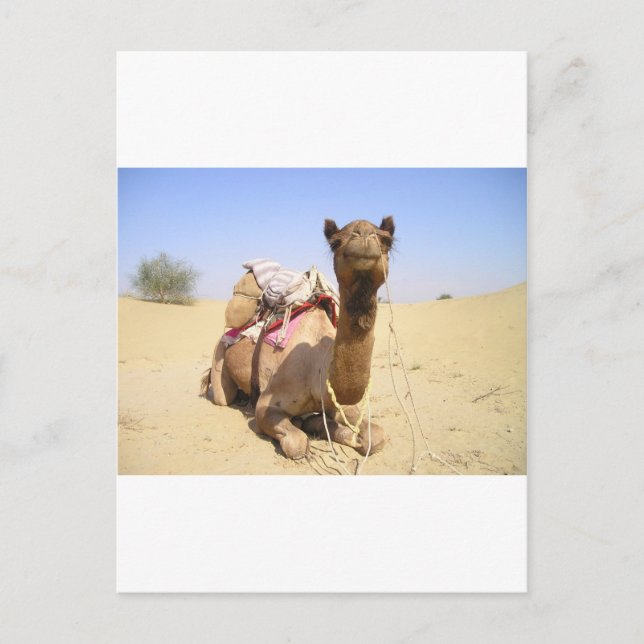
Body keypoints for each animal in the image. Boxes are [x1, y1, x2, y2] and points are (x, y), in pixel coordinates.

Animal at [202, 216, 395, 460]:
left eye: (387, 240)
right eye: (335, 242)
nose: (363, 234)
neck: (316, 368)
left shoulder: (338, 404)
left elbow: (377, 436)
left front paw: (324, 426)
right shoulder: (267, 404)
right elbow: (297, 444)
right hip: (219, 355)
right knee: (223, 396)